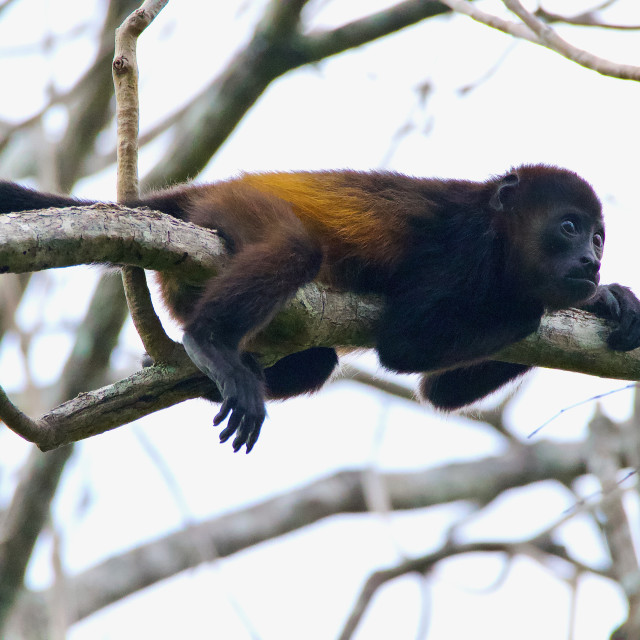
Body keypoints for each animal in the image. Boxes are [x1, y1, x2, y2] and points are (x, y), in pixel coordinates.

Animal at [1, 168, 640, 452]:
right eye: (568, 227)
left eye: (598, 238)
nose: (591, 261)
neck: (498, 232)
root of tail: (187, 193)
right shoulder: (464, 248)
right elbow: (406, 343)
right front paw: (583, 300)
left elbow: (437, 391)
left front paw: (613, 299)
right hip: (234, 208)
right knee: (293, 248)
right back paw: (211, 346)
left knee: (318, 363)